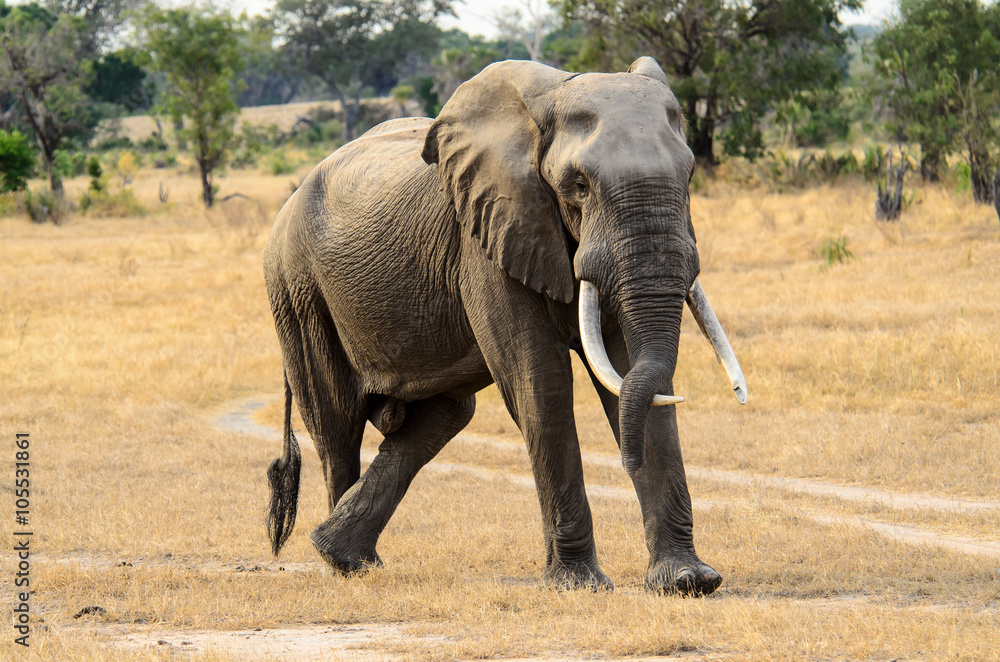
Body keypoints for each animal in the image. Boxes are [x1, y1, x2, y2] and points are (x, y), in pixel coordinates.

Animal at [262, 56, 747, 596]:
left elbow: (629, 371)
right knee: (336, 423)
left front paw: (688, 581)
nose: (628, 459)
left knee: (444, 416)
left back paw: (344, 552)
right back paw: (342, 565)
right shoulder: (487, 236)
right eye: (579, 185)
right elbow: (541, 380)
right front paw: (578, 584)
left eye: (689, 174)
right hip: (297, 290)